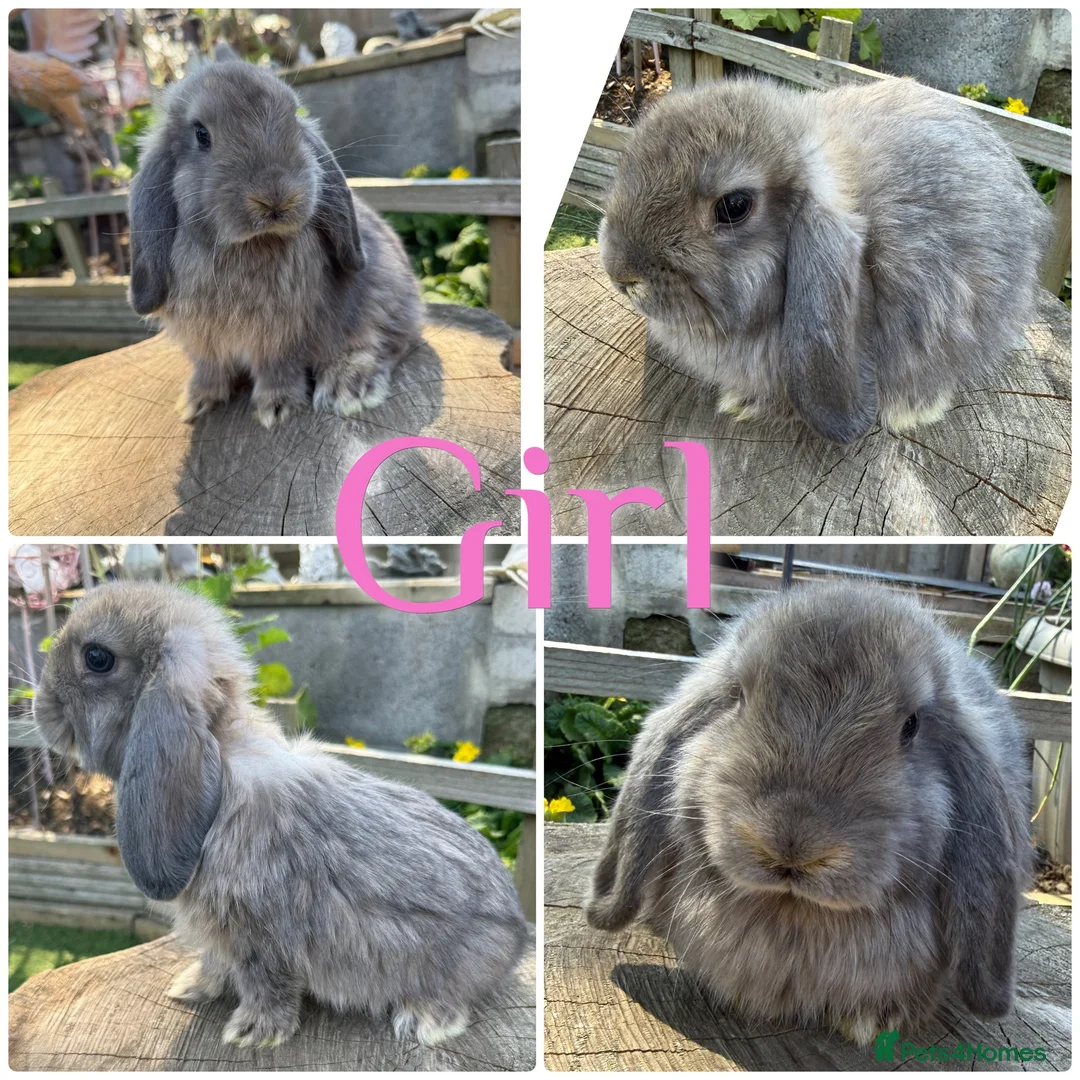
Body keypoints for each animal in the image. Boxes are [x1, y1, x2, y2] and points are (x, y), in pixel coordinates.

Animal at [33, 582, 529, 1048]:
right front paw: (190, 988)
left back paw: (425, 1021)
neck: (221, 763)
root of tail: (518, 936)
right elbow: (214, 963)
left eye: (97, 658)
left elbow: (265, 984)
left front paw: (253, 1033)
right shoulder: (222, 937)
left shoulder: (261, 938)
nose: (40, 709)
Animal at [127, 52, 422, 429]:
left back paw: (347, 388)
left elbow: (277, 370)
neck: (250, 245)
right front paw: (195, 403)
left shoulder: (281, 338)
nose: (276, 197)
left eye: (294, 119)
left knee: (386, 344)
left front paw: (277, 408)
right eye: (201, 135)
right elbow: (209, 370)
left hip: (384, 297)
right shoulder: (204, 345)